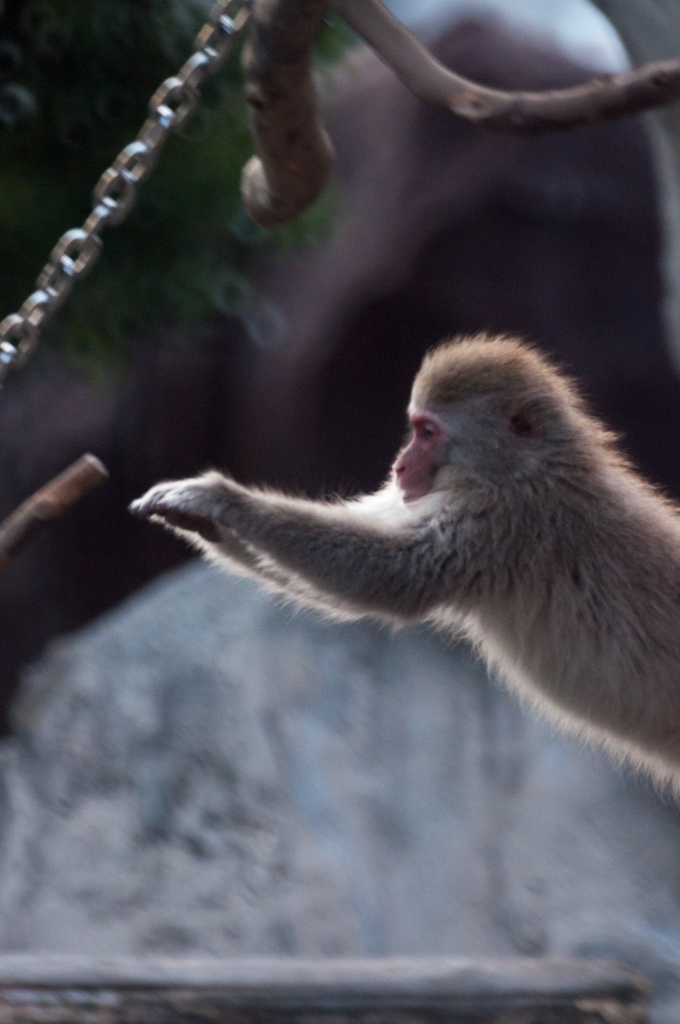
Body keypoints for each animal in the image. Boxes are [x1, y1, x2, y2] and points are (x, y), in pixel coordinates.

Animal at [131, 335, 680, 790]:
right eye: (414, 428)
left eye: (428, 432)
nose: (399, 465)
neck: (522, 468)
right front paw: (198, 520)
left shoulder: (504, 523)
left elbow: (396, 576)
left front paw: (220, 498)